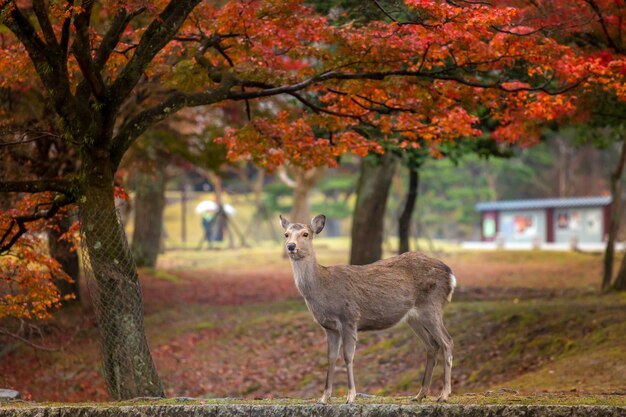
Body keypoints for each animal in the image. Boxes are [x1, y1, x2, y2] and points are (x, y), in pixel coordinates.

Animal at [280, 214, 456, 404]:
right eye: (286, 234)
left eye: (305, 234)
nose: (291, 246)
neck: (322, 287)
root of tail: (451, 276)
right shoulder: (329, 327)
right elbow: (331, 358)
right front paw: (324, 398)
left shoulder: (349, 318)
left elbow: (348, 356)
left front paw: (350, 396)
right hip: (414, 317)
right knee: (431, 346)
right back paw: (420, 394)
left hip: (432, 305)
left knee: (447, 341)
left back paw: (444, 394)